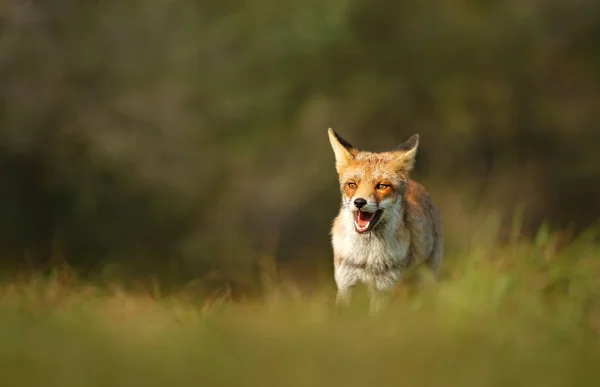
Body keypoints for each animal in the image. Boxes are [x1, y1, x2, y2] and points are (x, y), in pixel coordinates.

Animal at [326, 129, 442, 314]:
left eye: (381, 186)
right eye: (352, 184)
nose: (359, 202)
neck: (366, 258)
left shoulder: (383, 288)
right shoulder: (346, 283)